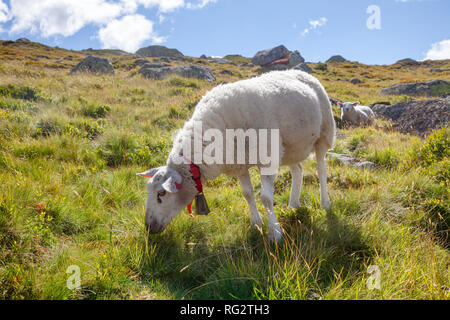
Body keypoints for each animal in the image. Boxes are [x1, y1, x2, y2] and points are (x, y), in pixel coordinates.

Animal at [137, 69, 334, 241]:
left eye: (161, 194)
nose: (148, 227)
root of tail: (301, 71)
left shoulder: (267, 156)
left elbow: (266, 198)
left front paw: (275, 233)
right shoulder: (239, 162)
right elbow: (247, 194)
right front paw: (256, 224)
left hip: (324, 134)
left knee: (321, 170)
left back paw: (325, 203)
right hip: (290, 147)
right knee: (298, 171)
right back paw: (293, 203)